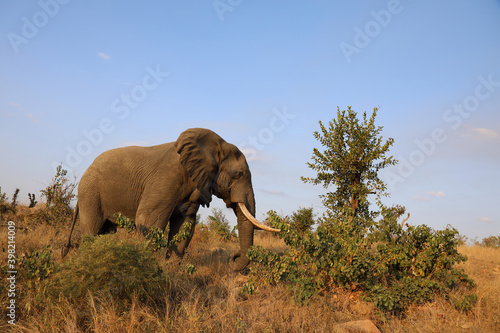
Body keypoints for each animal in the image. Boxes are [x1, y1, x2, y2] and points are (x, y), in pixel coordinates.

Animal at [61, 127, 280, 270]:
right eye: (240, 174)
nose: (232, 258)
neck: (216, 144)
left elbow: (184, 226)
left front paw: (172, 271)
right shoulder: (167, 177)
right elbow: (148, 221)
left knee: (105, 232)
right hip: (90, 193)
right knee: (92, 230)